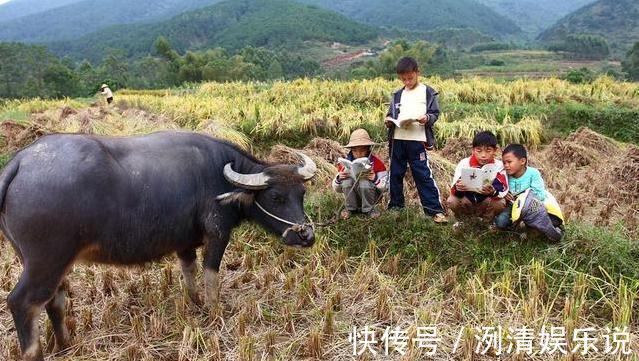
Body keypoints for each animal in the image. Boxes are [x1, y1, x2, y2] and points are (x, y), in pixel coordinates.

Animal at [0, 131, 318, 360]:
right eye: (276, 197)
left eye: (302, 193)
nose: (306, 235)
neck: (218, 176)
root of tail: (20, 162)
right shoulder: (218, 235)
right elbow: (211, 274)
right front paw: (214, 311)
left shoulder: (185, 242)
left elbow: (189, 272)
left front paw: (196, 304)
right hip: (46, 262)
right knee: (22, 302)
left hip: (46, 263)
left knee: (54, 300)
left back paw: (65, 345)